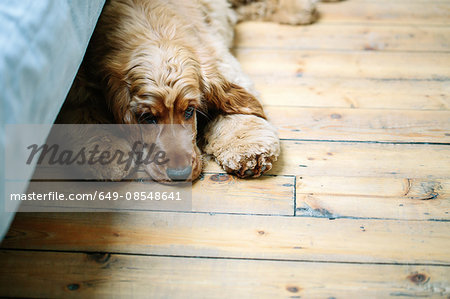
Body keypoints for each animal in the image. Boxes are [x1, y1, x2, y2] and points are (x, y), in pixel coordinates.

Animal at [56, 0, 318, 182]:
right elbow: (84, 114)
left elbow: (237, 114)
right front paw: (103, 155)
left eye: (190, 111)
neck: (152, 30)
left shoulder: (218, 60)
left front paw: (248, 150)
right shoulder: (80, 84)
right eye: (147, 117)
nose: (179, 173)